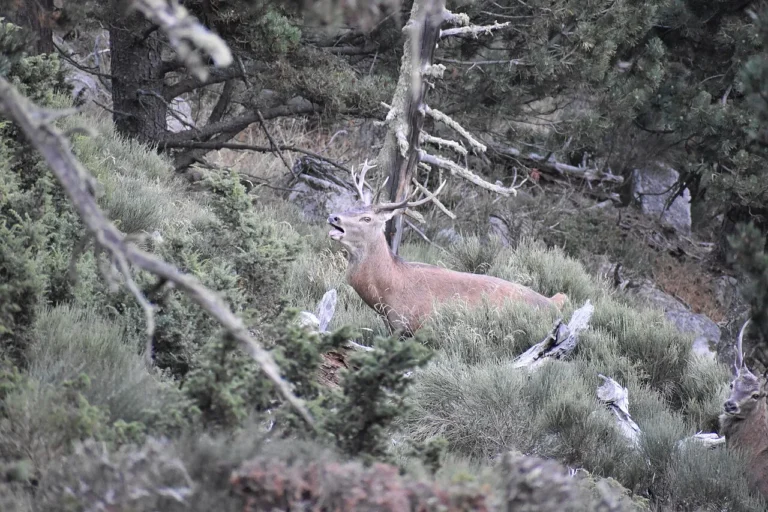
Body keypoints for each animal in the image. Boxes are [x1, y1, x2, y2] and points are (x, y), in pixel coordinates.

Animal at [326, 160, 568, 336]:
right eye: (353, 206)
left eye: (366, 218)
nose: (333, 217)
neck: (386, 293)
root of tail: (554, 302)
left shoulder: (412, 326)